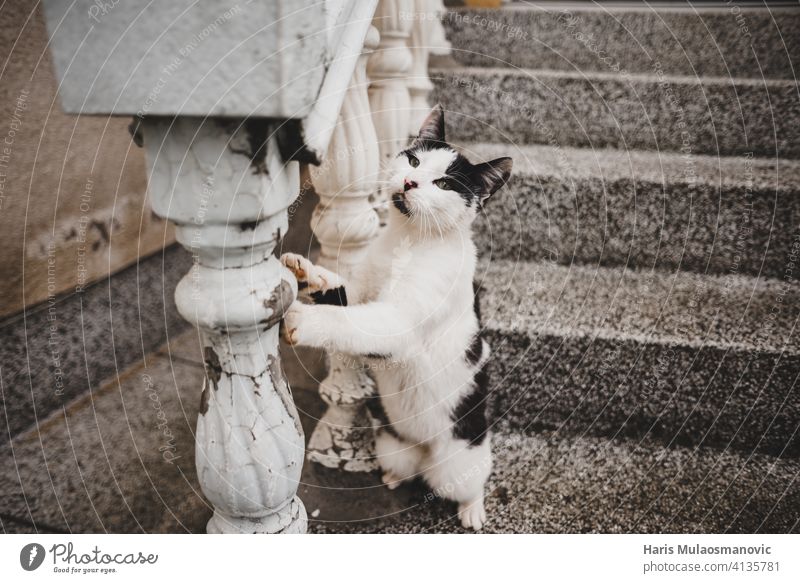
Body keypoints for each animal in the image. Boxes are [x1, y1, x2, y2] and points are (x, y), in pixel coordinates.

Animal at [282, 104, 512, 528]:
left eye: (444, 183)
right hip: (391, 444)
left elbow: (348, 324)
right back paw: (392, 477)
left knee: (468, 483)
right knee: (402, 465)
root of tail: (423, 451)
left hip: (459, 461)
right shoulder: (364, 292)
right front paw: (309, 273)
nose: (408, 181)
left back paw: (473, 509)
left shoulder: (399, 323)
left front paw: (302, 320)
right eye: (415, 160)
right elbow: (341, 294)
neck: (408, 239)